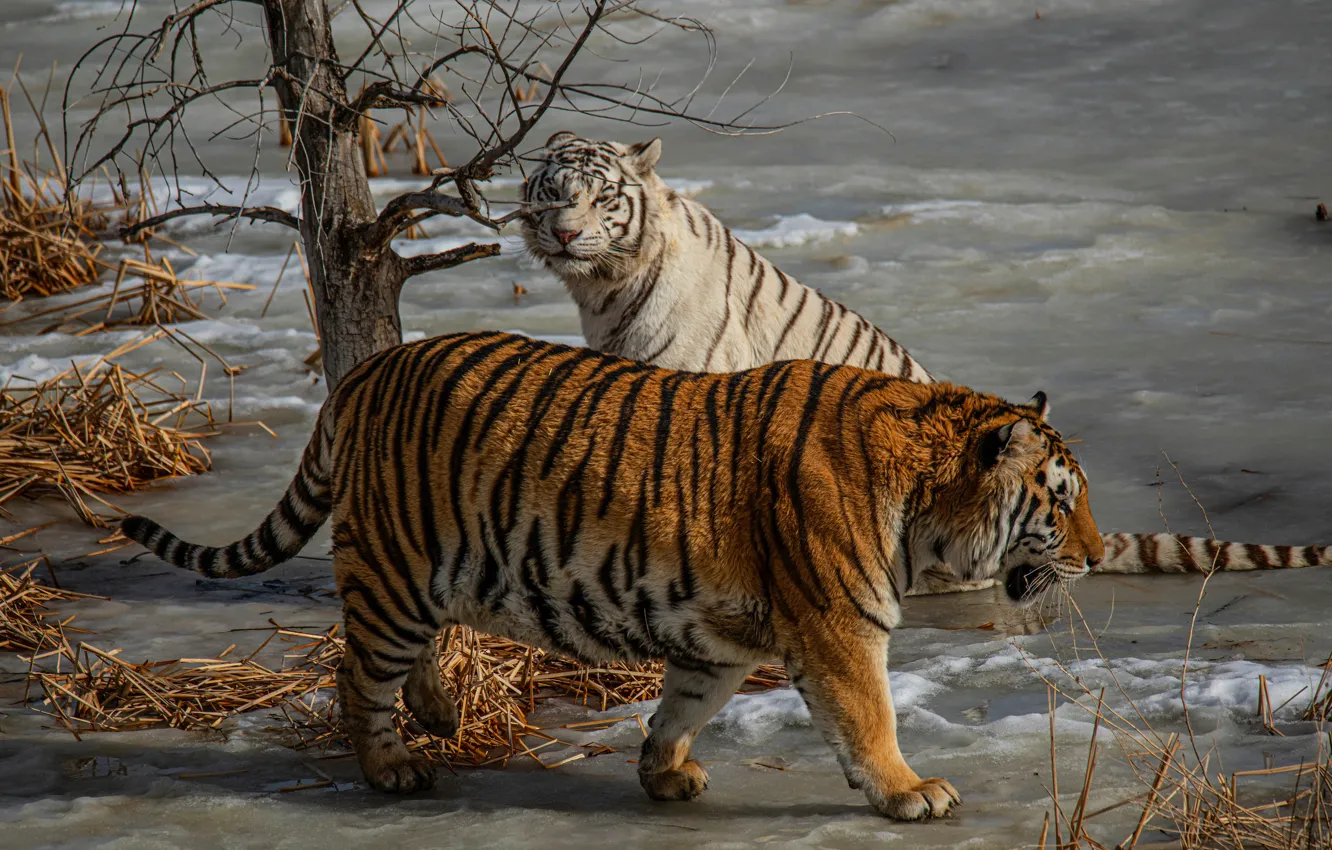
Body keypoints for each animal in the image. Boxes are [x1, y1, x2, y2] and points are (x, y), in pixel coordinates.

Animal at [124, 331, 1105, 820]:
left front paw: (663, 774)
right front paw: (909, 793)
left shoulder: (721, 638)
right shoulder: (839, 627)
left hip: (426, 573)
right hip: (394, 570)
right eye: (1060, 504)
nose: (1097, 559)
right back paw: (393, 766)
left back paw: (437, 714)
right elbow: (869, 719)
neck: (925, 501)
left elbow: (683, 706)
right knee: (356, 673)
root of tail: (363, 372)